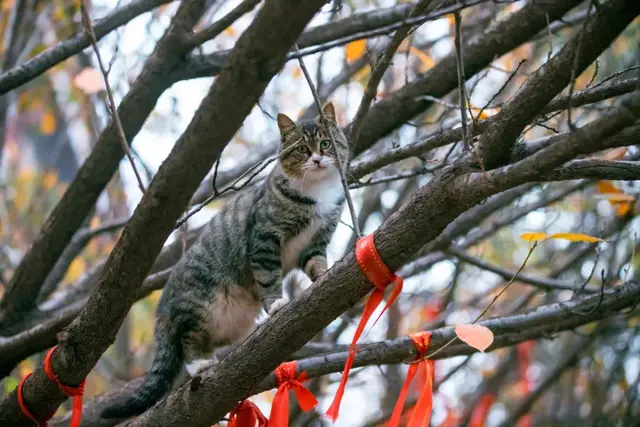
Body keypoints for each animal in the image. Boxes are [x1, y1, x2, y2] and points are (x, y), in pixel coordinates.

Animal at [102, 104, 348, 422]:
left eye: (326, 143)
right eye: (303, 149)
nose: (317, 159)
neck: (317, 193)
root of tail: (163, 310)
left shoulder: (316, 241)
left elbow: (316, 263)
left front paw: (324, 276)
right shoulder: (264, 237)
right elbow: (268, 275)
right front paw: (276, 303)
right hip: (199, 303)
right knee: (187, 340)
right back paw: (199, 364)